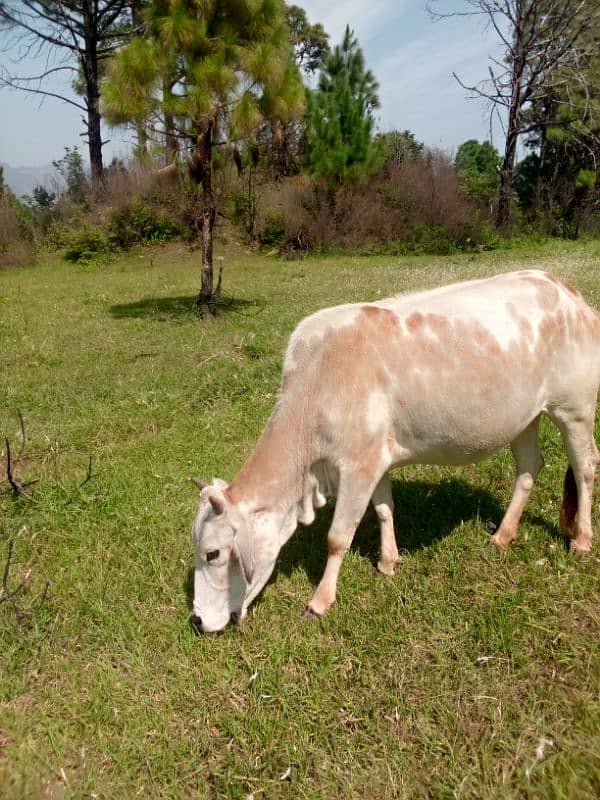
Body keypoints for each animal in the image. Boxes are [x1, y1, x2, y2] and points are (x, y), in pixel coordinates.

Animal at [191, 272, 600, 636]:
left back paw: (581, 539)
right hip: (524, 416)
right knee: (529, 467)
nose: (196, 620)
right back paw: (502, 535)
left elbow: (337, 537)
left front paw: (320, 601)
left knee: (585, 467)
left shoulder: (357, 466)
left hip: (574, 408)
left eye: (212, 553)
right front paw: (388, 561)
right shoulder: (376, 459)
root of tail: (565, 289)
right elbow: (385, 509)